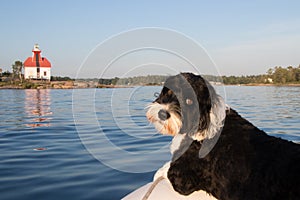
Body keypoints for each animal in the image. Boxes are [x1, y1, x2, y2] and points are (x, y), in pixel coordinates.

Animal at [146, 73, 300, 200]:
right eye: (169, 91)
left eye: (189, 101)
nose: (162, 113)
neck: (206, 122)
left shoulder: (184, 178)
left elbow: (167, 170)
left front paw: (160, 171)